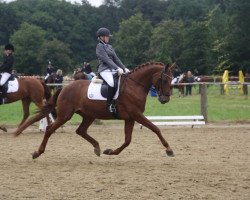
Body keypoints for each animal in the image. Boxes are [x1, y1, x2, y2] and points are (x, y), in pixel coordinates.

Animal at [14, 61, 175, 159]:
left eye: (171, 79)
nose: (165, 99)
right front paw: (169, 149)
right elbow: (155, 128)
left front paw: (110, 152)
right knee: (49, 129)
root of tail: (65, 87)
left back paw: (97, 148)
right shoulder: (136, 115)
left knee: (81, 131)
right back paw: (37, 152)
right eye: (164, 80)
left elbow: (127, 140)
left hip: (88, 115)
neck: (134, 86)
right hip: (65, 115)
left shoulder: (130, 117)